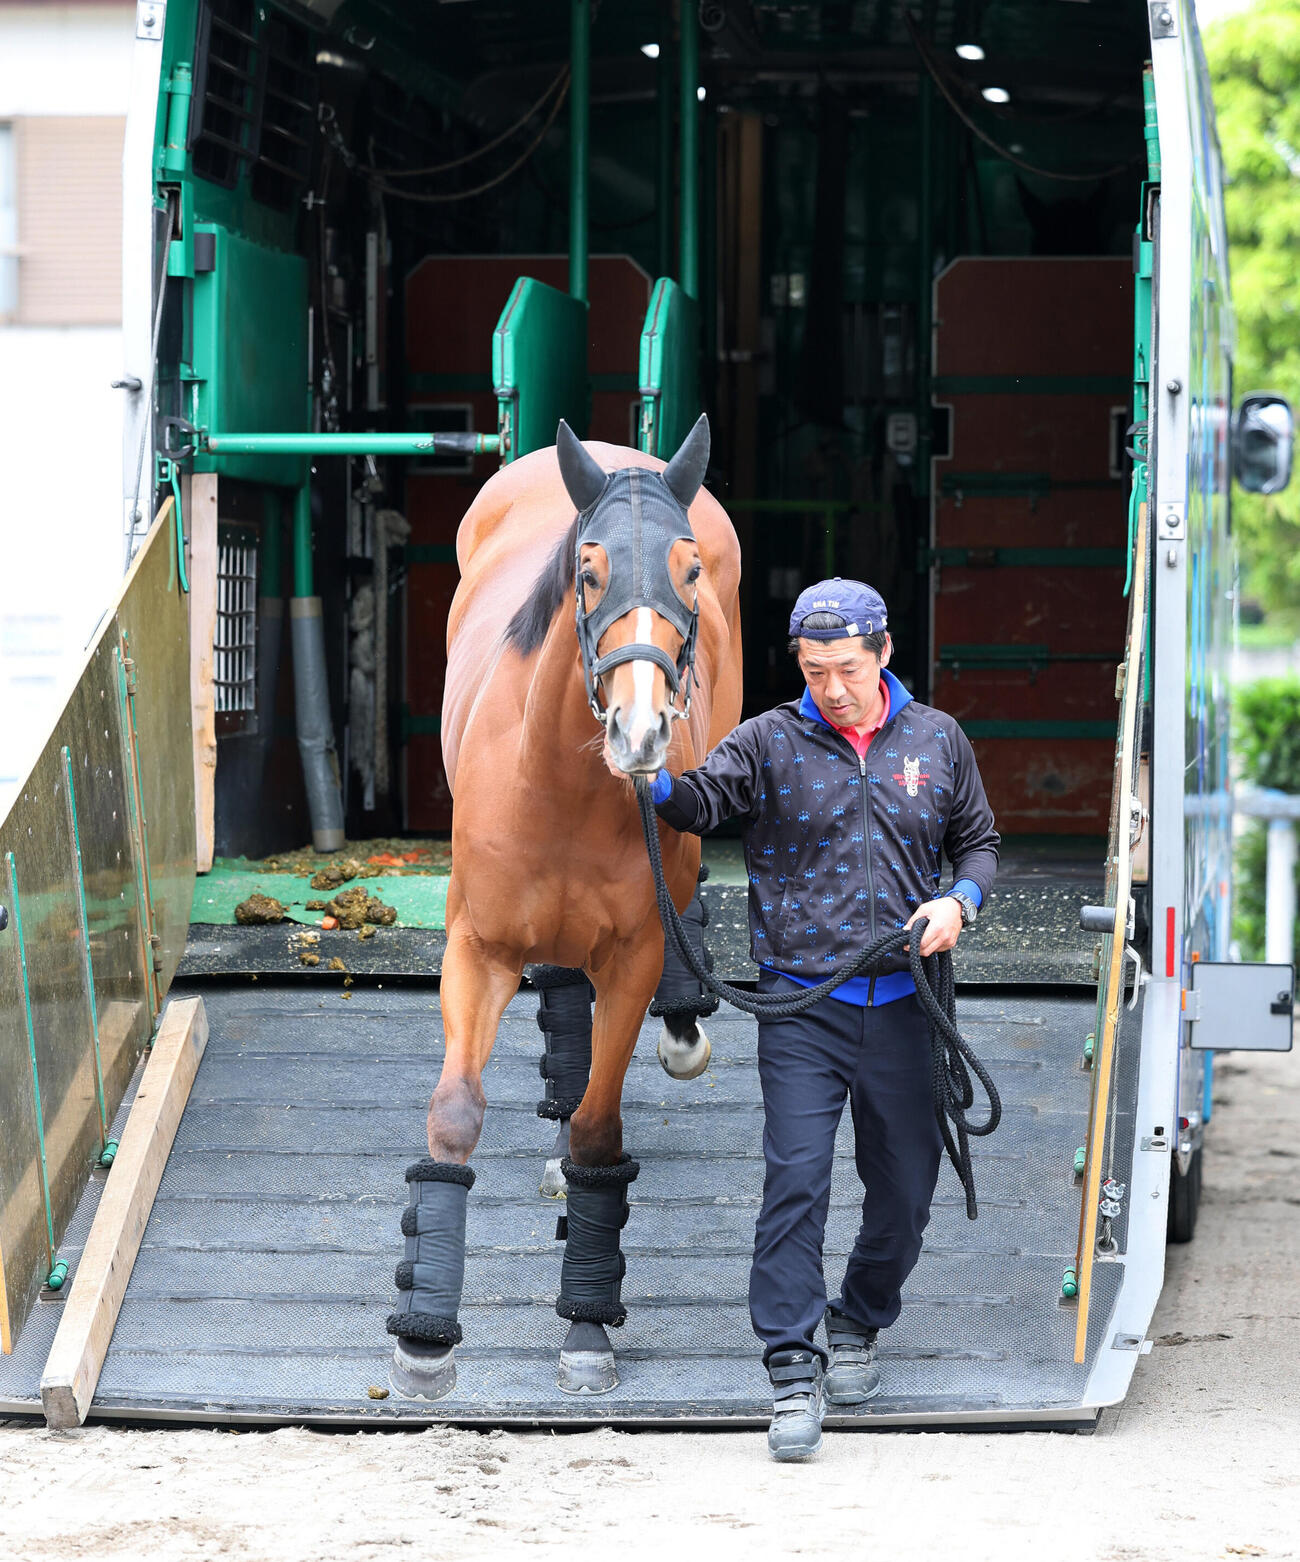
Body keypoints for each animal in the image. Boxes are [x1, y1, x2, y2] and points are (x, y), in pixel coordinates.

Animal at [386, 416, 743, 1399]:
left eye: (690, 568)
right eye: (588, 570)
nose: (641, 732)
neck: (560, 785)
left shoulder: (634, 958)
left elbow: (595, 1129)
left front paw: (586, 1325)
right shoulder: (476, 950)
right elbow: (455, 1111)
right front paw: (425, 1338)